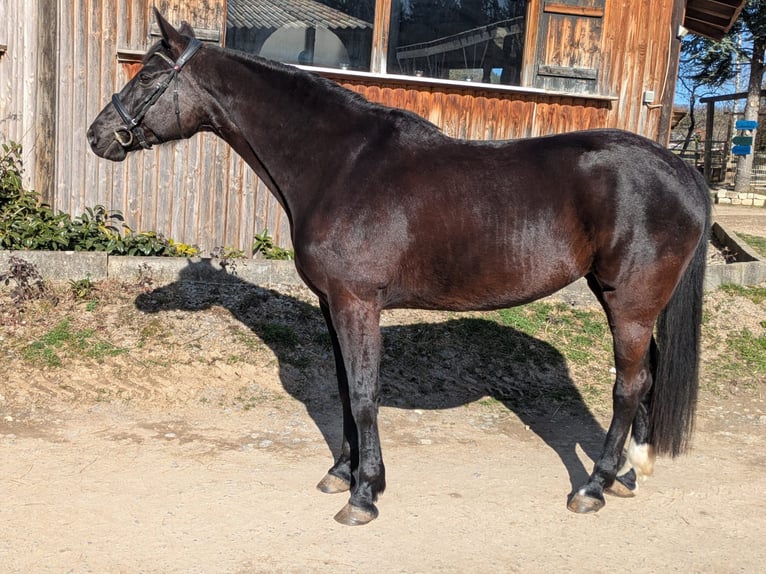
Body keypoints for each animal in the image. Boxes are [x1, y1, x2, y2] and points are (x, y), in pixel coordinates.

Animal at [88, 10, 711, 526]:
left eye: (148, 76)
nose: (97, 136)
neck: (339, 164)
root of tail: (681, 171)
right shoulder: (333, 305)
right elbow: (344, 388)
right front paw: (341, 473)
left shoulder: (357, 303)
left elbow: (364, 393)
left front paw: (364, 494)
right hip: (621, 298)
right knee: (648, 377)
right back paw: (629, 474)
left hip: (630, 303)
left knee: (629, 386)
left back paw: (594, 486)